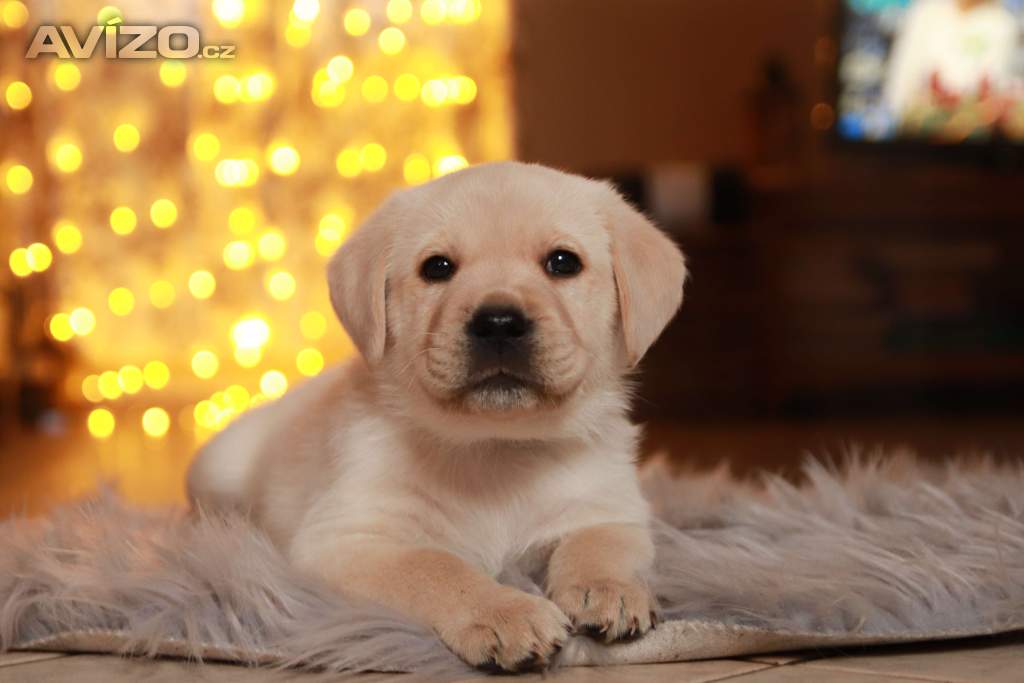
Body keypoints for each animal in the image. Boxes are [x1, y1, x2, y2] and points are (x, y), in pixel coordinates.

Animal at [188, 160, 684, 671]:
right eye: (438, 268)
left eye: (563, 263)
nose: (499, 323)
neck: (496, 449)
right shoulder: (350, 538)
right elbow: (436, 567)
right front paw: (504, 613)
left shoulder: (609, 508)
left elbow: (600, 543)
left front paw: (608, 589)